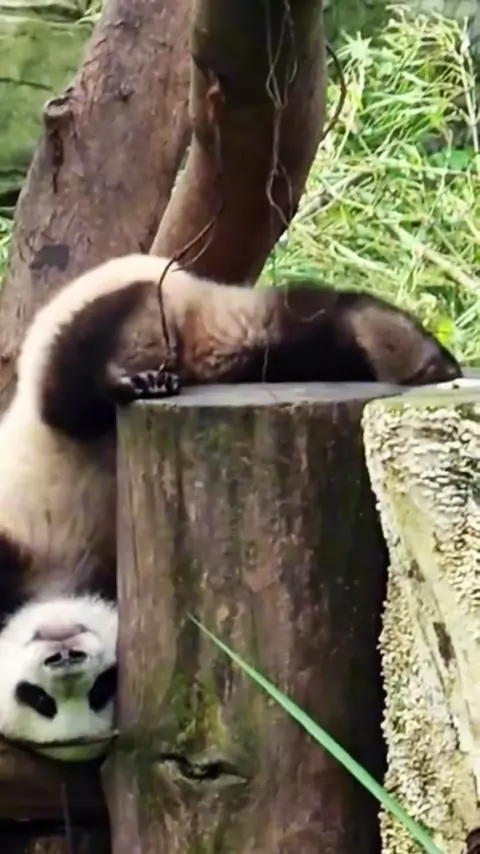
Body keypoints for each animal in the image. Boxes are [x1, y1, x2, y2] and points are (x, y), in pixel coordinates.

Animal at [0, 253, 462, 761]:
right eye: (40, 699)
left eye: (100, 688)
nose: (64, 654)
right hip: (223, 347)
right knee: (288, 336)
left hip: (88, 335)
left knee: (77, 385)